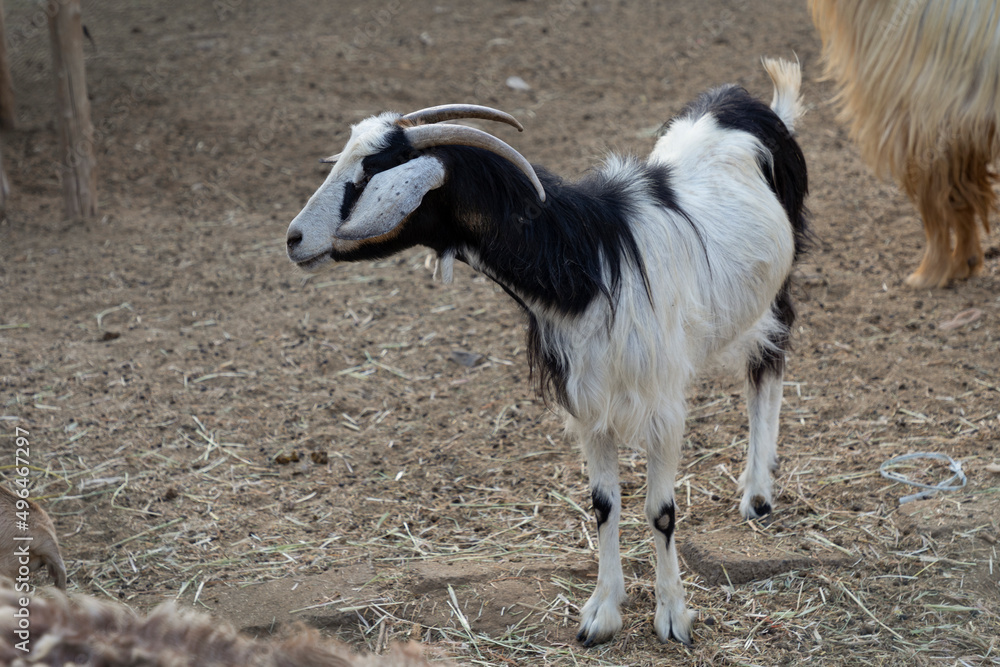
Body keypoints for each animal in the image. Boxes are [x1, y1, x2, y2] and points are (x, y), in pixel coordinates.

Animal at [286, 58, 808, 645]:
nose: (294, 239)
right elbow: (604, 505)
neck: (590, 259)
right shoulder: (589, 401)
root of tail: (756, 105)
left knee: (768, 364)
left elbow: (661, 511)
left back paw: (758, 493)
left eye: (366, 173)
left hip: (776, 290)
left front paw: (673, 615)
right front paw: (602, 614)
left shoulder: (662, 404)